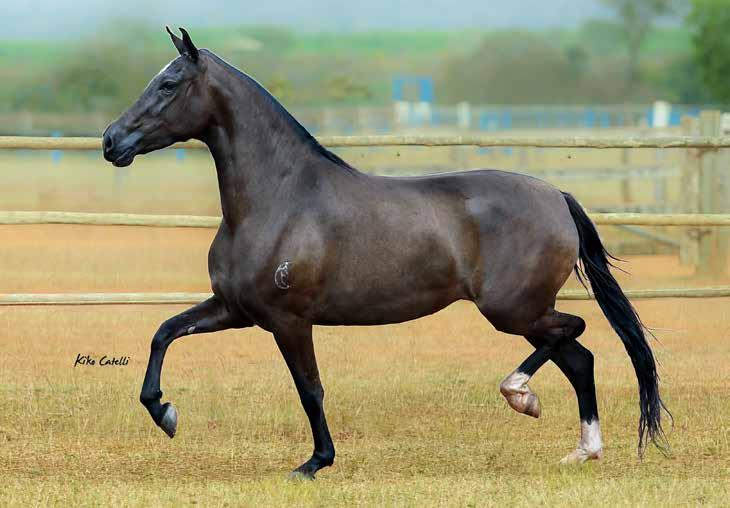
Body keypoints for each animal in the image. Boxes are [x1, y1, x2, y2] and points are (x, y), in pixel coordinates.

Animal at [102, 28, 664, 480]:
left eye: (168, 84)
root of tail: (558, 197)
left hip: (513, 311)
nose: (111, 141)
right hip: (524, 313)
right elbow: (164, 333)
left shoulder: (289, 320)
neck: (279, 199)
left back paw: (520, 393)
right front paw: (165, 414)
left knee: (576, 333)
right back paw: (581, 449)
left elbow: (310, 390)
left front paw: (314, 464)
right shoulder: (235, 310)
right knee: (580, 357)